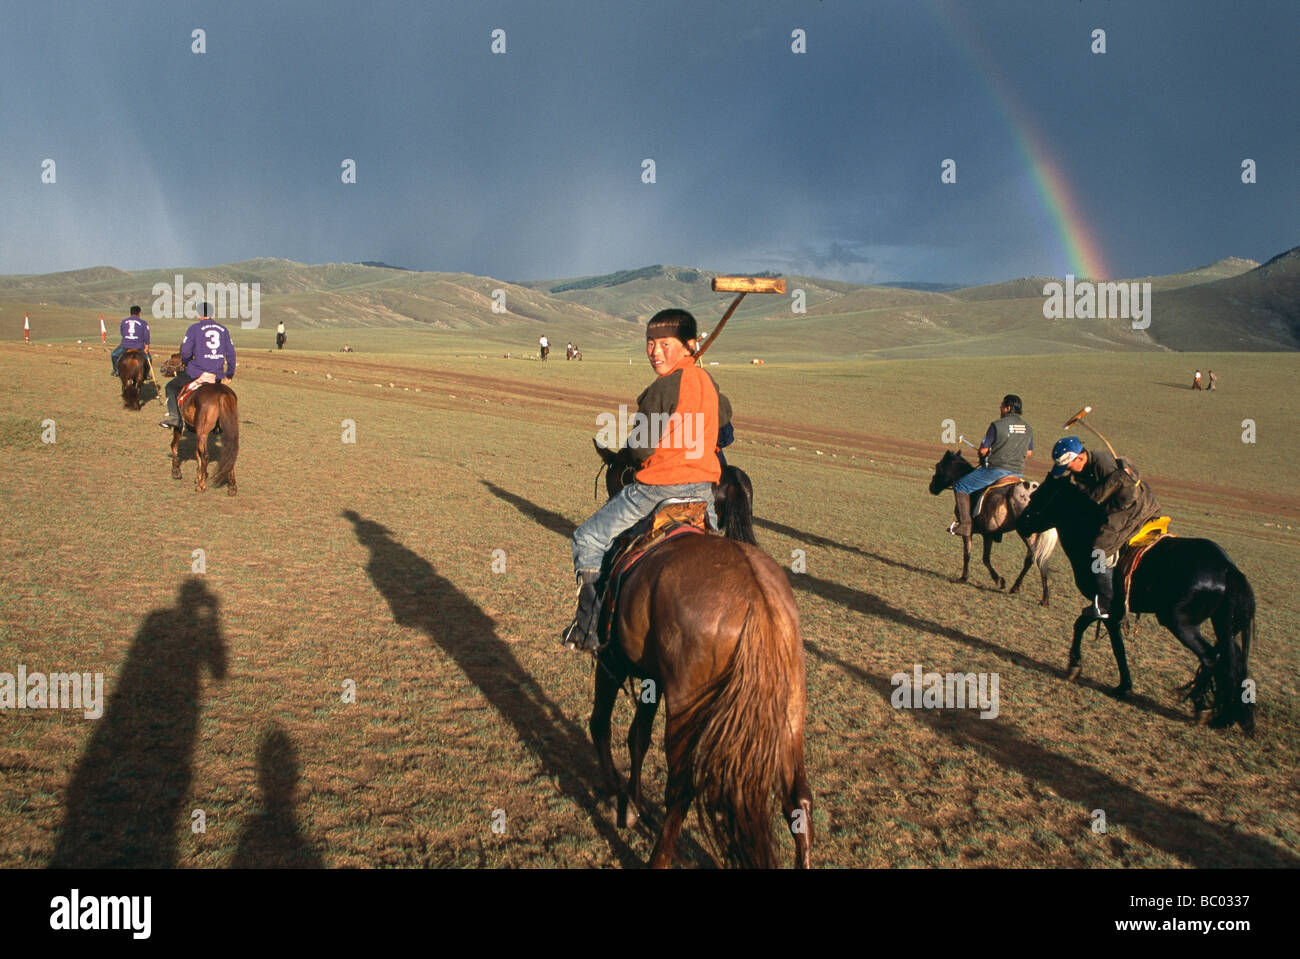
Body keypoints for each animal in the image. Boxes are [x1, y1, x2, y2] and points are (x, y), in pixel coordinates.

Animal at [590, 444, 811, 862]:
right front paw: (633, 803)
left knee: (681, 789)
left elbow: (601, 724)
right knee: (799, 800)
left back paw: (657, 859)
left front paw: (616, 800)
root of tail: (758, 602)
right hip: (790, 711)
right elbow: (638, 736)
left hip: (686, 707)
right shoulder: (652, 676)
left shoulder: (612, 660)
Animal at [925, 449, 1055, 600]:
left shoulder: (972, 532)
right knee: (1032, 559)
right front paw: (999, 580)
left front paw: (966, 577)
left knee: (1037, 558)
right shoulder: (988, 534)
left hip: (1027, 534)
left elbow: (970, 554)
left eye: (938, 466)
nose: (932, 487)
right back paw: (1017, 588)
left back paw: (1044, 598)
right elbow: (985, 558)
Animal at [1019, 475, 1253, 727]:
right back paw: (1227, 712)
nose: (1022, 523)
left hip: (1179, 622)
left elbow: (1097, 633)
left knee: (1211, 657)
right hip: (1222, 625)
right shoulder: (1111, 609)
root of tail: (1227, 568)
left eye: (1039, 496)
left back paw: (1202, 707)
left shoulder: (1106, 606)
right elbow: (1103, 636)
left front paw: (1083, 669)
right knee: (1232, 659)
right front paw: (1115, 682)